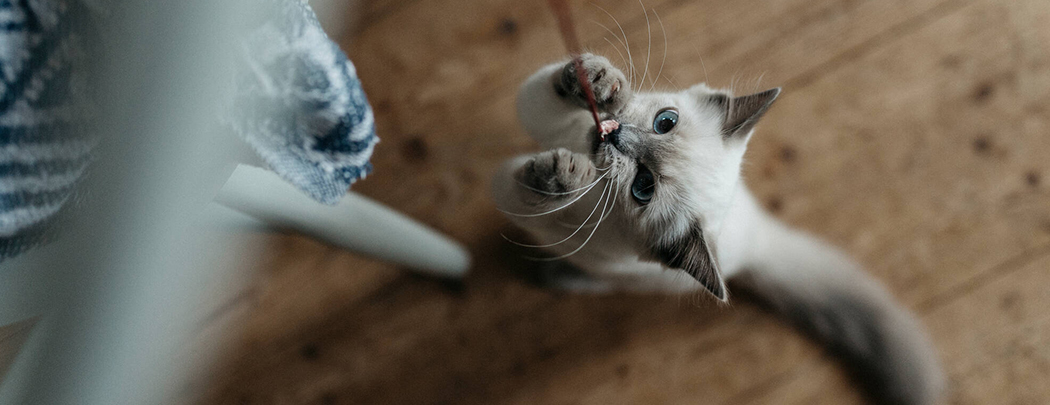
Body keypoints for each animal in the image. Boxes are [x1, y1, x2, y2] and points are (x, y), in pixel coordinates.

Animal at [495, 54, 949, 405]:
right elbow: (547, 90)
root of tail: (759, 238)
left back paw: (555, 274)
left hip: (616, 271)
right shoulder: (543, 115)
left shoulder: (535, 207)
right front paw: (599, 81)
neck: (577, 143)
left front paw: (561, 176)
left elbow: (527, 192)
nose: (615, 134)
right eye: (665, 121)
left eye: (644, 187)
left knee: (596, 278)